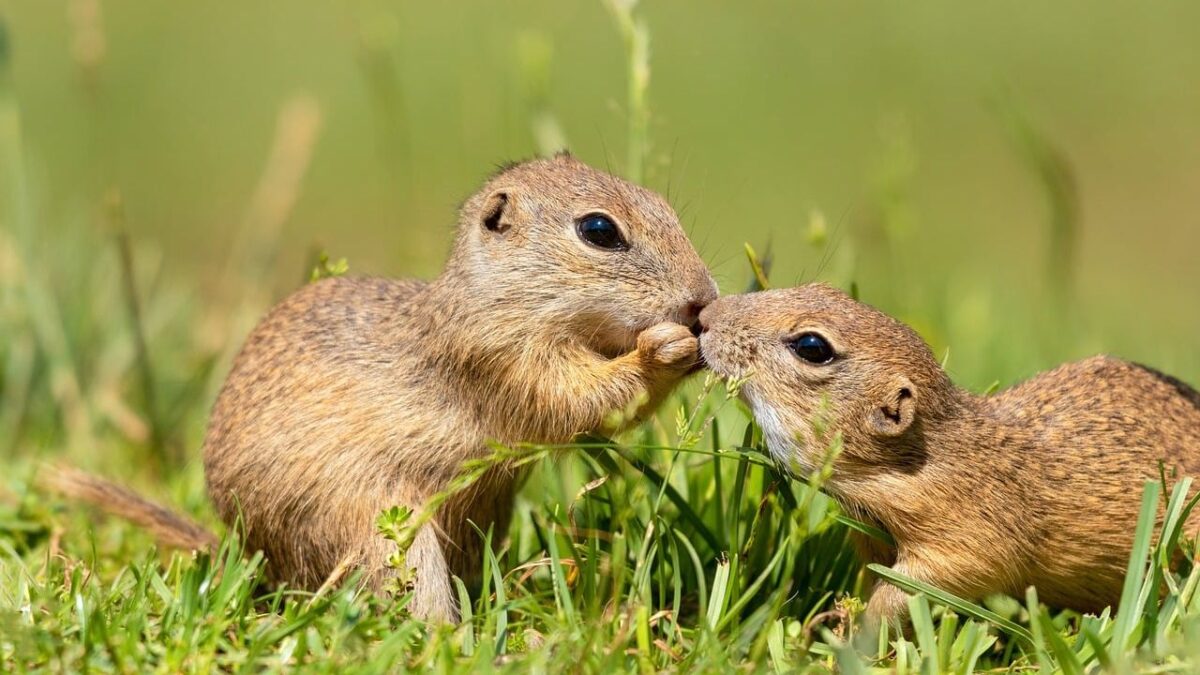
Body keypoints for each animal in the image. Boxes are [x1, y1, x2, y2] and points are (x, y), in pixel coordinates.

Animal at [47, 154, 718, 621]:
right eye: (599, 230)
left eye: (663, 204)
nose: (702, 300)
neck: (496, 298)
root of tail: (260, 563)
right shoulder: (505, 361)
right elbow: (583, 401)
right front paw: (667, 349)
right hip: (381, 532)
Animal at [697, 283, 1200, 624]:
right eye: (821, 289)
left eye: (812, 346)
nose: (704, 315)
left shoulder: (969, 535)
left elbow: (921, 585)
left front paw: (854, 631)